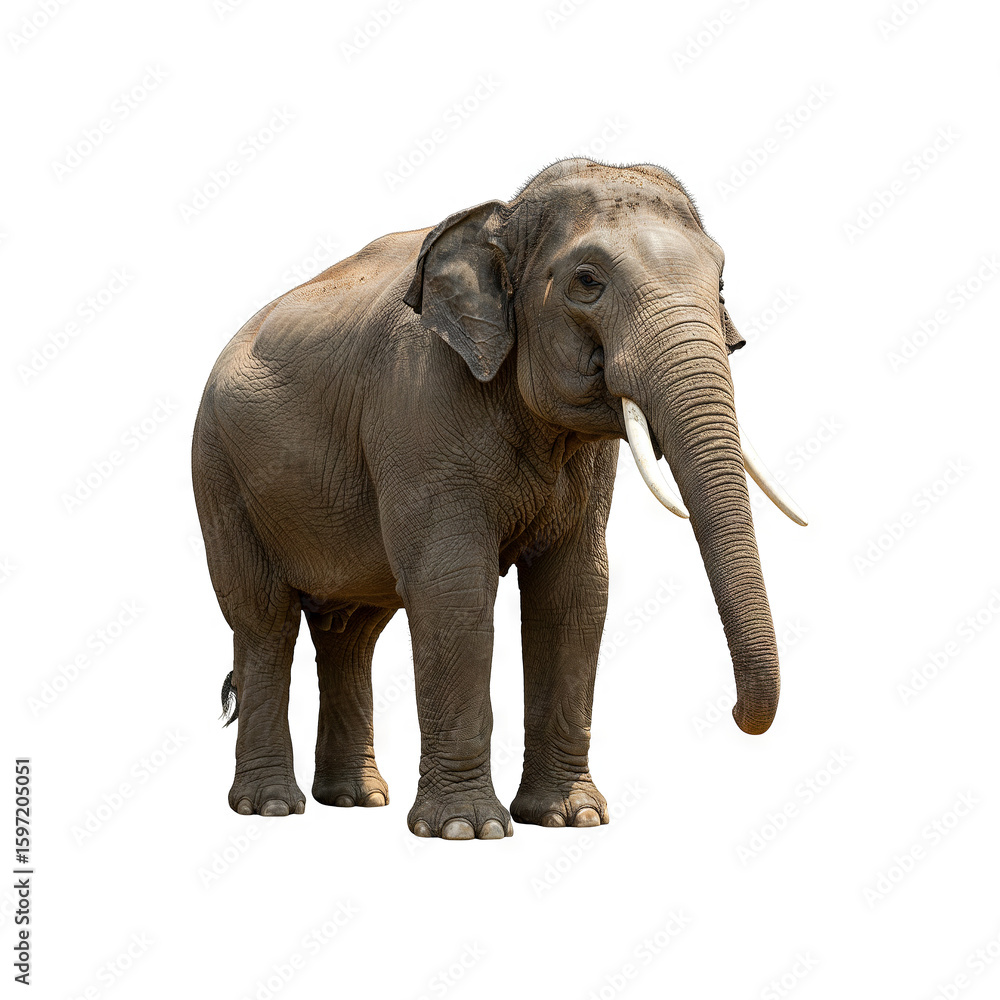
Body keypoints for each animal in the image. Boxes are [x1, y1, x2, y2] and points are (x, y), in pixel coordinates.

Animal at [192, 157, 806, 840]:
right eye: (586, 281)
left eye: (721, 282)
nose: (737, 714)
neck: (500, 218)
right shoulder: (418, 406)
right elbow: (453, 586)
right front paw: (468, 830)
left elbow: (575, 591)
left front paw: (570, 819)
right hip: (219, 472)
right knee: (265, 620)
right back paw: (272, 807)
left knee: (351, 632)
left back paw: (356, 800)